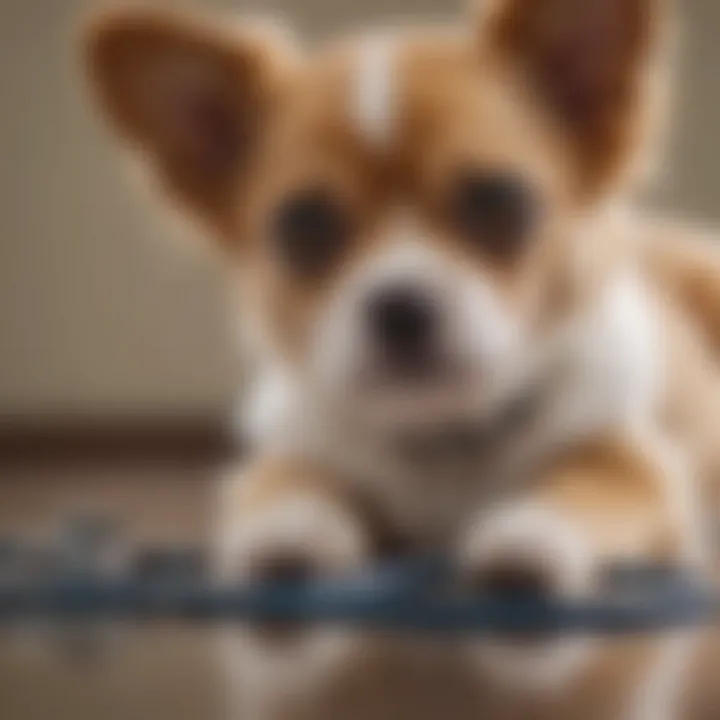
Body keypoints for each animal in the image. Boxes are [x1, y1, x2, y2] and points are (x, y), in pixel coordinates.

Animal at [79, 0, 720, 716]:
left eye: (496, 200)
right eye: (304, 225)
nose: (401, 305)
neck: (442, 436)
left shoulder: (641, 468)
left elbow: (585, 488)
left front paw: (525, 537)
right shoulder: (288, 448)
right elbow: (284, 484)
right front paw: (289, 536)